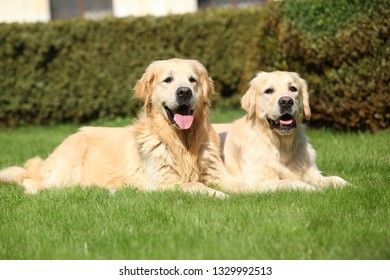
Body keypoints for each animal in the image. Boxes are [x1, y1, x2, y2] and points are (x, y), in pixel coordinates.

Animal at [0, 58, 235, 197]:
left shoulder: (217, 173)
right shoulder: (162, 182)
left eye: (193, 80)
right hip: (61, 171)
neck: (182, 141)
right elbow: (194, 185)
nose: (184, 91)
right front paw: (220, 195)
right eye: (167, 80)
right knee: (30, 178)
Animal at [216, 71, 348, 191]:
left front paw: (350, 187)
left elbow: (336, 179)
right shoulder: (256, 181)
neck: (281, 146)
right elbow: (292, 181)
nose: (286, 101)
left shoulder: (312, 173)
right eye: (268, 91)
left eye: (293, 88)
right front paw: (314, 190)